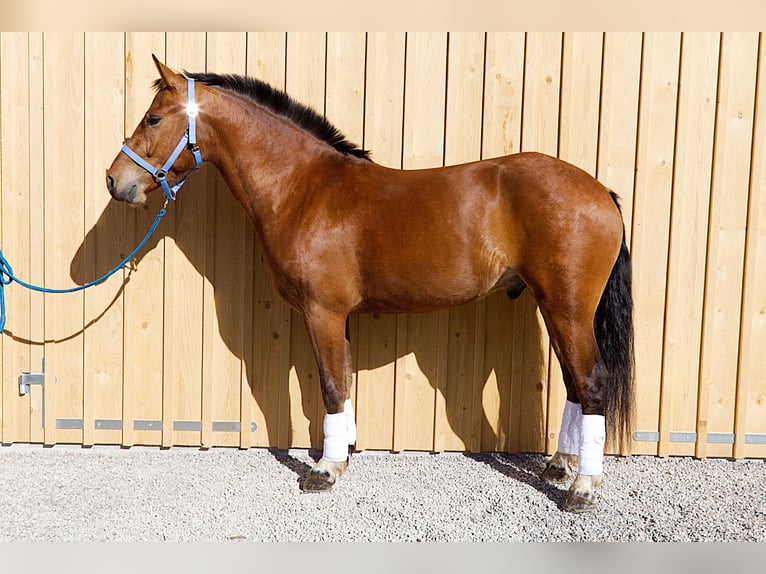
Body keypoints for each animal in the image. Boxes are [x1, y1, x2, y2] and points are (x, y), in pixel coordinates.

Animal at [106, 56, 636, 516]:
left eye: (153, 118)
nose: (115, 181)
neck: (304, 188)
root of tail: (600, 192)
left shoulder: (322, 311)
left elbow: (330, 385)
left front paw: (325, 470)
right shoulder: (337, 316)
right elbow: (342, 383)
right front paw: (343, 452)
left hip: (568, 309)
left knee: (592, 382)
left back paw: (582, 488)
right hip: (558, 309)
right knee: (574, 382)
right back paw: (559, 466)